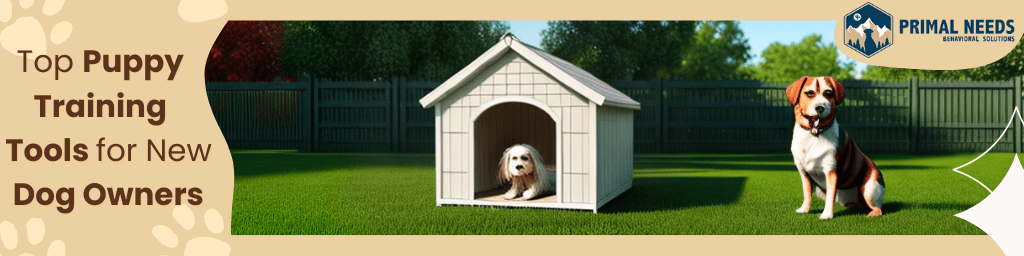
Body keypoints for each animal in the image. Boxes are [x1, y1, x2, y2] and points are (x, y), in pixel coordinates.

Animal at [786, 75, 884, 220]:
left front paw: (826, 215)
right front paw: (804, 209)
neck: (814, 133)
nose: (820, 108)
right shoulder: (804, 173)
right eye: (809, 93)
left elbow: (830, 196)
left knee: (877, 207)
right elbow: (807, 193)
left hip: (870, 189)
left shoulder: (831, 171)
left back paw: (873, 212)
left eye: (828, 93)